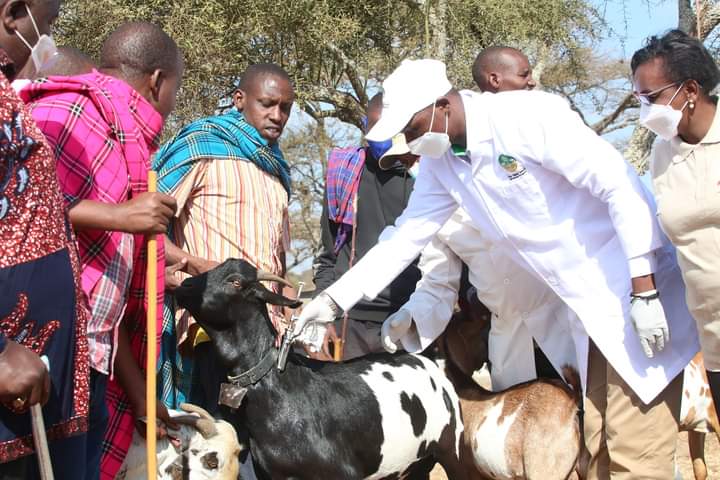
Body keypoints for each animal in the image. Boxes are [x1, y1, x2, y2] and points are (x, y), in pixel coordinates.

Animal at [175, 258, 466, 480]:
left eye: (235, 281)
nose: (184, 285)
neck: (279, 388)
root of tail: (428, 360)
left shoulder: (343, 474)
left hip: (452, 450)